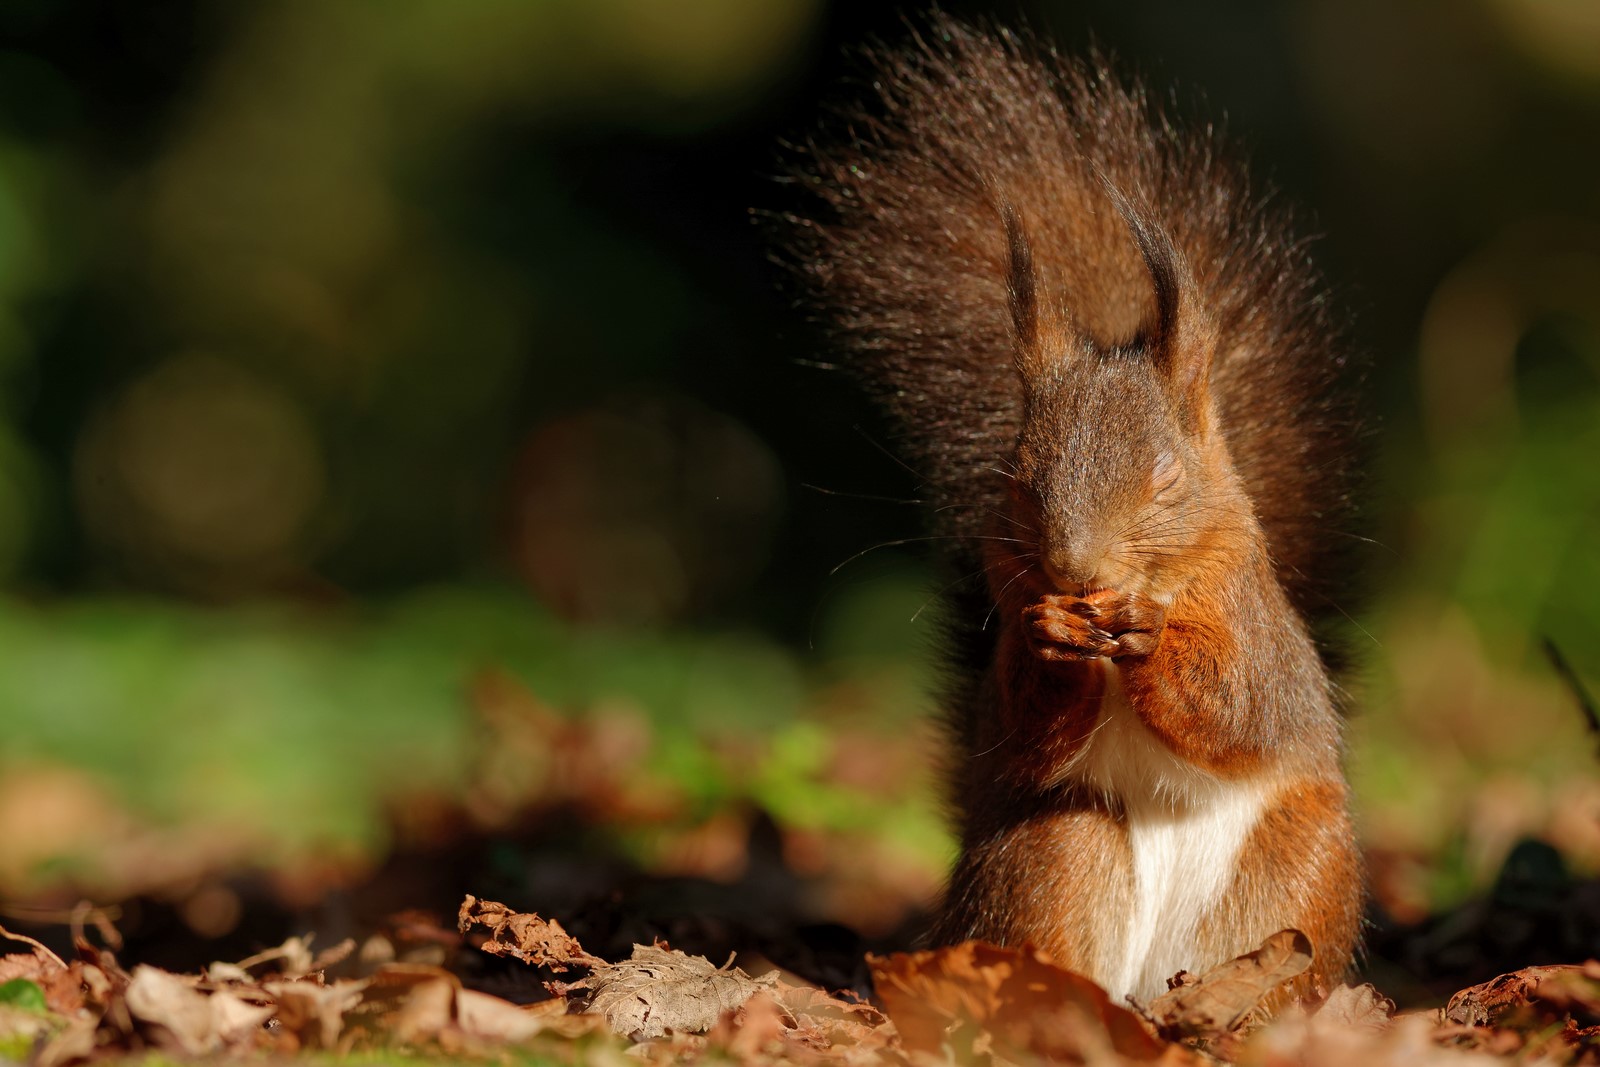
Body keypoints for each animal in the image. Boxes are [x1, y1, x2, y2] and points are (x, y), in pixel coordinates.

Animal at [784, 16, 1363, 1004]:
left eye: (1166, 477)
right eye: (1016, 477)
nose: (1077, 572)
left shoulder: (1253, 621)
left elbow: (1242, 702)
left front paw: (1150, 636)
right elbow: (1018, 725)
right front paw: (1059, 640)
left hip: (1298, 867)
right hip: (1052, 845)